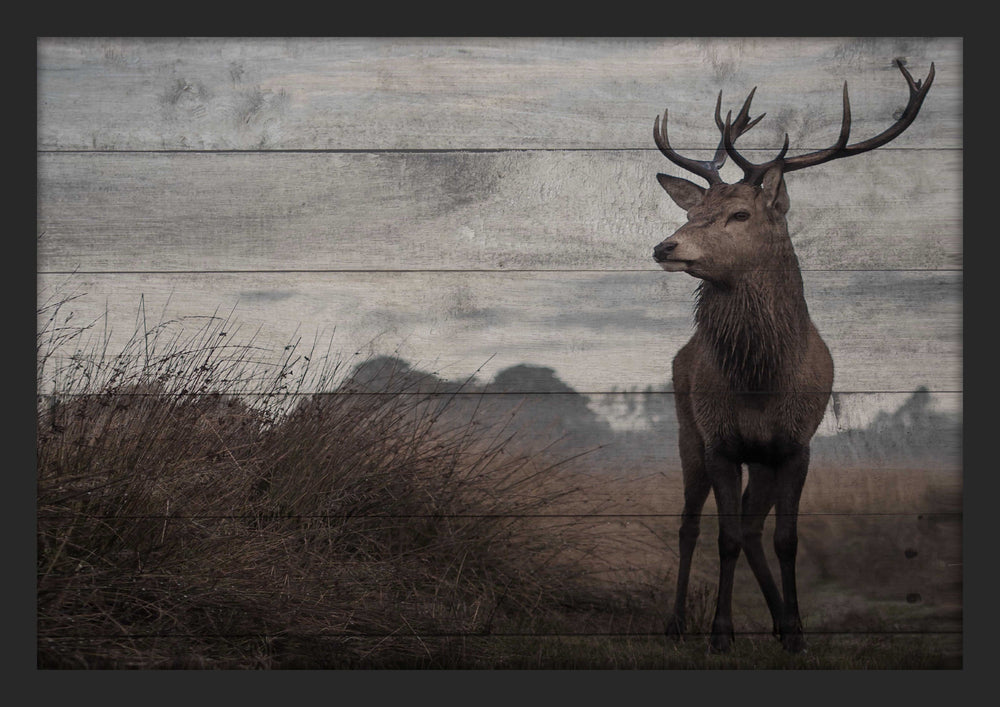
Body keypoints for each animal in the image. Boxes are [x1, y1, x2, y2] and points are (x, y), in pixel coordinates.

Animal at [650, 59, 935, 653]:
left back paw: (781, 622)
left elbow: (786, 538)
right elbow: (724, 537)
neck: (762, 380)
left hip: (760, 459)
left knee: (755, 529)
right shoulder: (719, 441)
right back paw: (676, 624)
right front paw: (721, 634)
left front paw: (798, 632)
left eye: (738, 214)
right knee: (691, 525)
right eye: (696, 210)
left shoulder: (796, 445)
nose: (665, 246)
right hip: (688, 430)